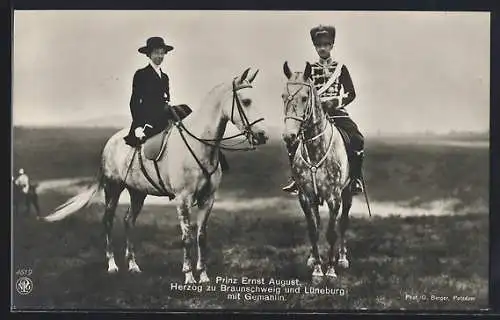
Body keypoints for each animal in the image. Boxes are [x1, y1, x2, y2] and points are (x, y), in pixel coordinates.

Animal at [43, 67, 270, 282]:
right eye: (246, 101)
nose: (262, 136)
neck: (200, 145)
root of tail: (110, 142)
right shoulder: (183, 199)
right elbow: (187, 237)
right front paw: (189, 276)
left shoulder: (208, 198)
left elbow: (201, 236)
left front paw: (204, 276)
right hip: (113, 188)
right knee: (108, 221)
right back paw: (112, 265)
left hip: (137, 192)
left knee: (128, 221)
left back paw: (133, 265)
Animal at [282, 62, 356, 280]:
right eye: (283, 96)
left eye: (305, 97)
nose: (289, 136)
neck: (316, 150)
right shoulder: (306, 197)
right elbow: (313, 230)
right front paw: (316, 268)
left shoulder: (334, 197)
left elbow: (332, 232)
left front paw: (330, 270)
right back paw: (312, 258)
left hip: (347, 193)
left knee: (343, 223)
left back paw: (342, 258)